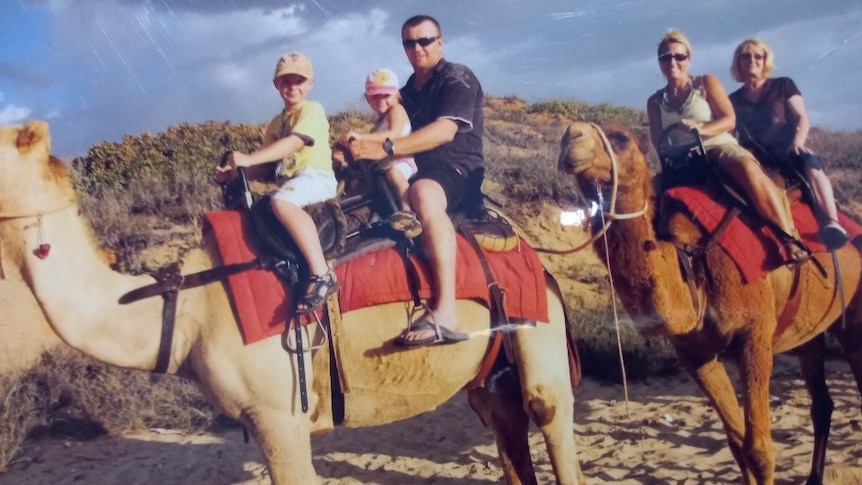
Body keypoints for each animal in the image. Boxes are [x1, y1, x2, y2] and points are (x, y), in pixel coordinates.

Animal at [0, 120, 588, 484]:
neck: (187, 308)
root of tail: (531, 252)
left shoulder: (279, 416)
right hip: (489, 372)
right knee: (505, 423)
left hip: (536, 330)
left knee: (549, 411)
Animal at [560, 121, 862, 484]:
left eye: (619, 139)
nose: (570, 137)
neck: (691, 261)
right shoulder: (695, 354)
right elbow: (737, 444)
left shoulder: (754, 335)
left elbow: (759, 450)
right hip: (810, 330)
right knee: (821, 402)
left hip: (854, 316)